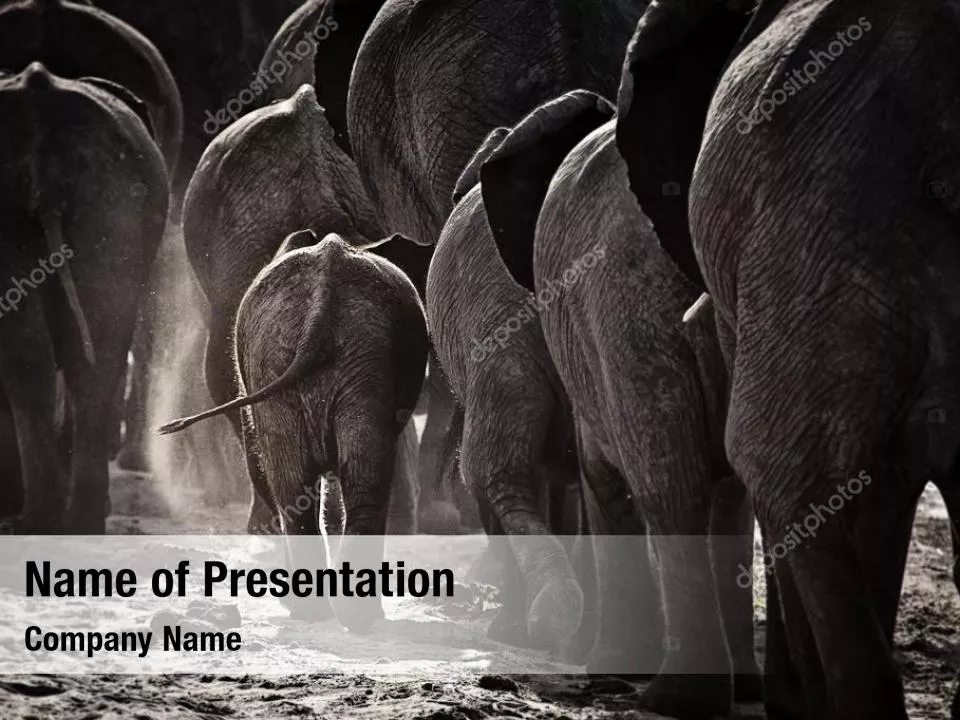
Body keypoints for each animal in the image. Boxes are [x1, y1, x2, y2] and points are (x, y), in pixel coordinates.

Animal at [159, 229, 429, 631]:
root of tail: (325, 289)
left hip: (325, 358)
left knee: (307, 484)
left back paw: (330, 613)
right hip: (328, 357)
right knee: (343, 479)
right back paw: (342, 616)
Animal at [481, 88, 759, 718]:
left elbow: (603, 479)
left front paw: (611, 667)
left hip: (623, 312)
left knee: (670, 485)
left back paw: (674, 696)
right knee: (722, 487)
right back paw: (726, 689)